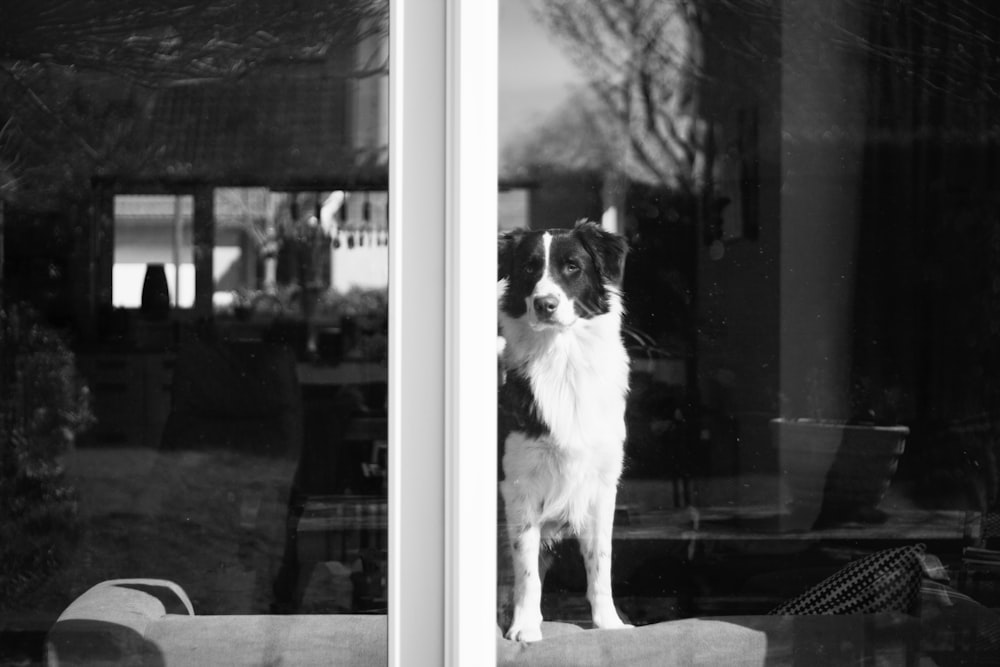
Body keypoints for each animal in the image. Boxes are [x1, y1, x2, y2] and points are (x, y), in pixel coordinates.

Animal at [500, 219, 632, 640]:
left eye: (572, 266)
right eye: (529, 267)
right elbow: (525, 566)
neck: (563, 358)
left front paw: (609, 623)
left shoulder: (603, 484)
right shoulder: (519, 486)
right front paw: (525, 627)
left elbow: (601, 560)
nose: (545, 304)